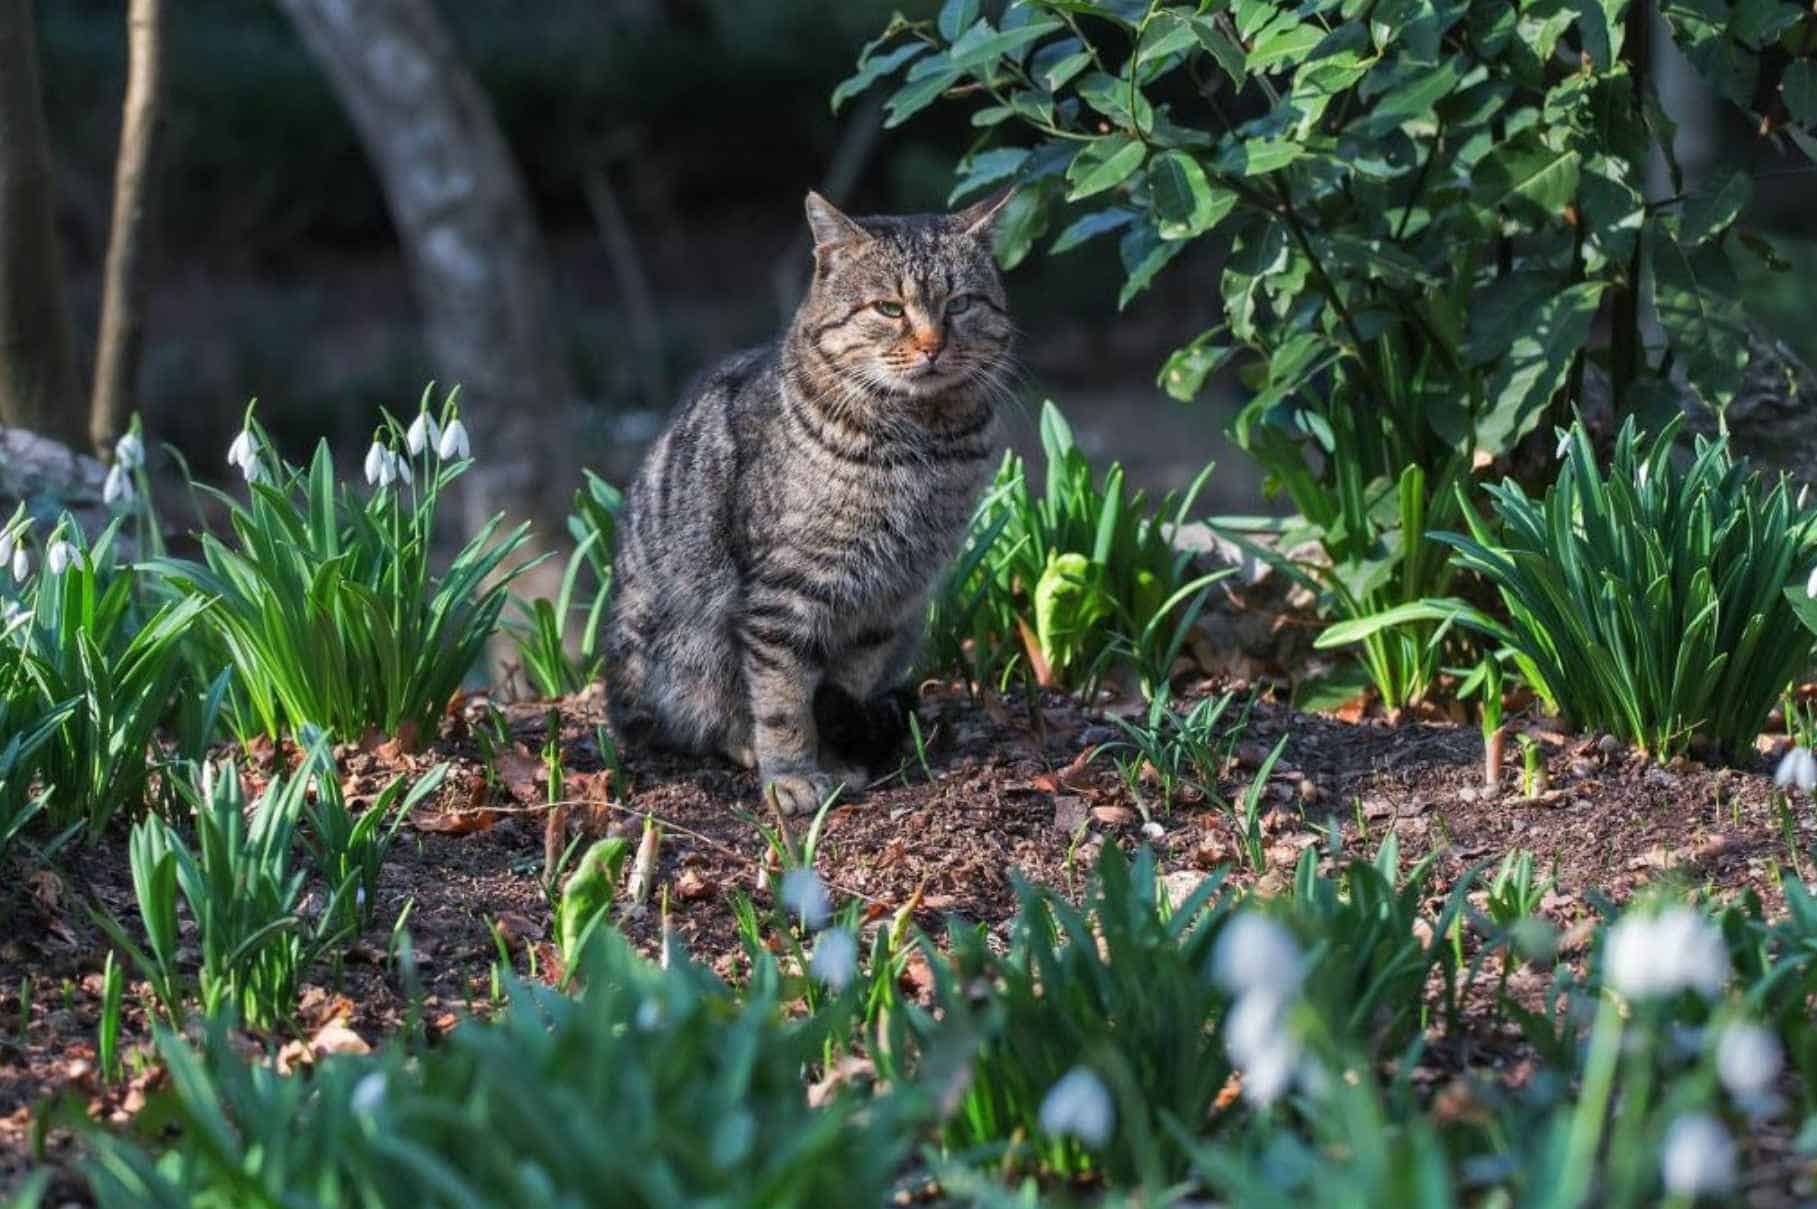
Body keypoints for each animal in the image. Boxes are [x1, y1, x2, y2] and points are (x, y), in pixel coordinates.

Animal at [603, 189, 1017, 810]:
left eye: (961, 304)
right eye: (889, 309)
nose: (932, 346)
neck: (923, 446)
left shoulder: (890, 599)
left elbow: (845, 685)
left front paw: (837, 757)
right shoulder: (787, 593)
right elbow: (782, 699)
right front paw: (793, 775)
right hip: (682, 641)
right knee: (689, 721)